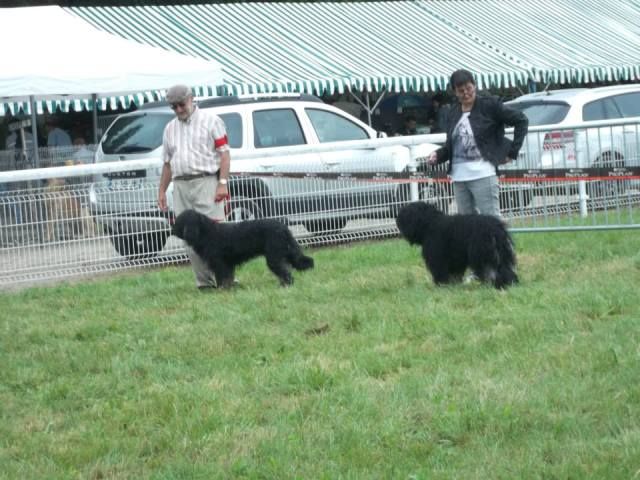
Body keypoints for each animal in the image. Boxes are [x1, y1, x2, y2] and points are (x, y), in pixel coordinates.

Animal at [172, 209, 316, 284]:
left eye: (178, 221)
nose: (171, 230)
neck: (206, 233)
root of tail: (283, 227)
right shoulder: (227, 264)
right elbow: (228, 278)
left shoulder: (220, 263)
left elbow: (222, 279)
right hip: (288, 250)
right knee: (306, 261)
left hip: (274, 256)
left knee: (285, 272)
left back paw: (285, 285)